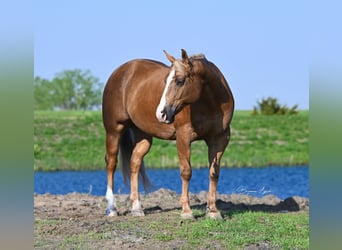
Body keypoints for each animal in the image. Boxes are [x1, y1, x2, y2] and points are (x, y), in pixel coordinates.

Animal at [103, 48, 234, 219]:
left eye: (180, 80)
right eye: (165, 81)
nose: (161, 113)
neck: (210, 103)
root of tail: (120, 72)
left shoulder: (219, 139)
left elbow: (214, 173)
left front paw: (213, 211)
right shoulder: (183, 137)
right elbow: (186, 171)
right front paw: (186, 211)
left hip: (143, 136)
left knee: (135, 162)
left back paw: (137, 208)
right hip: (114, 130)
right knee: (111, 163)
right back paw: (112, 208)